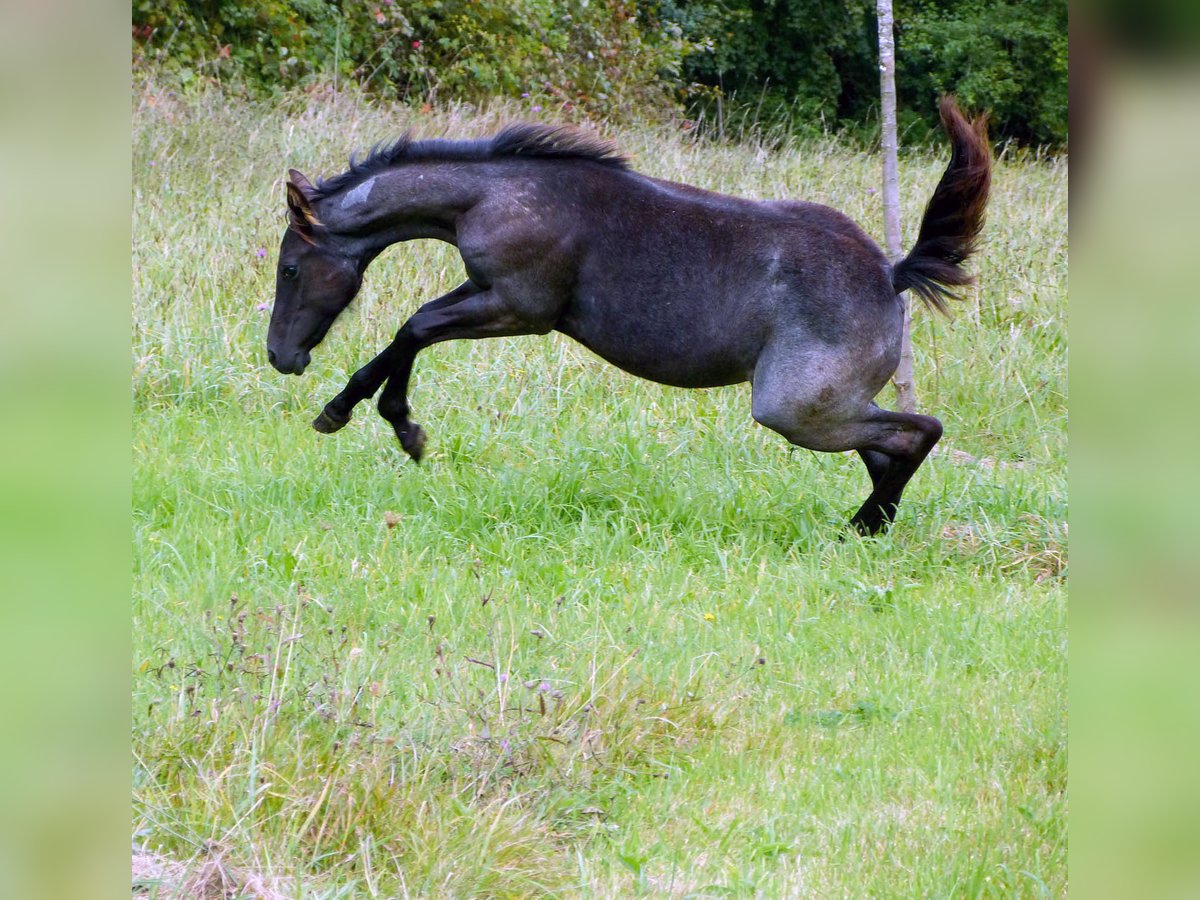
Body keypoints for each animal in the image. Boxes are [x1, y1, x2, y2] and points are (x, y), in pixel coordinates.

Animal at [272, 98, 993, 535]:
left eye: (289, 269)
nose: (282, 356)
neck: (500, 195)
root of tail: (892, 273)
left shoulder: (518, 306)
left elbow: (415, 328)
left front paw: (392, 424)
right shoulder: (487, 292)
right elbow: (409, 330)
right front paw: (351, 413)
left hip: (795, 407)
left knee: (917, 432)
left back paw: (861, 528)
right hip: (828, 405)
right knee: (887, 450)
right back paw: (867, 529)